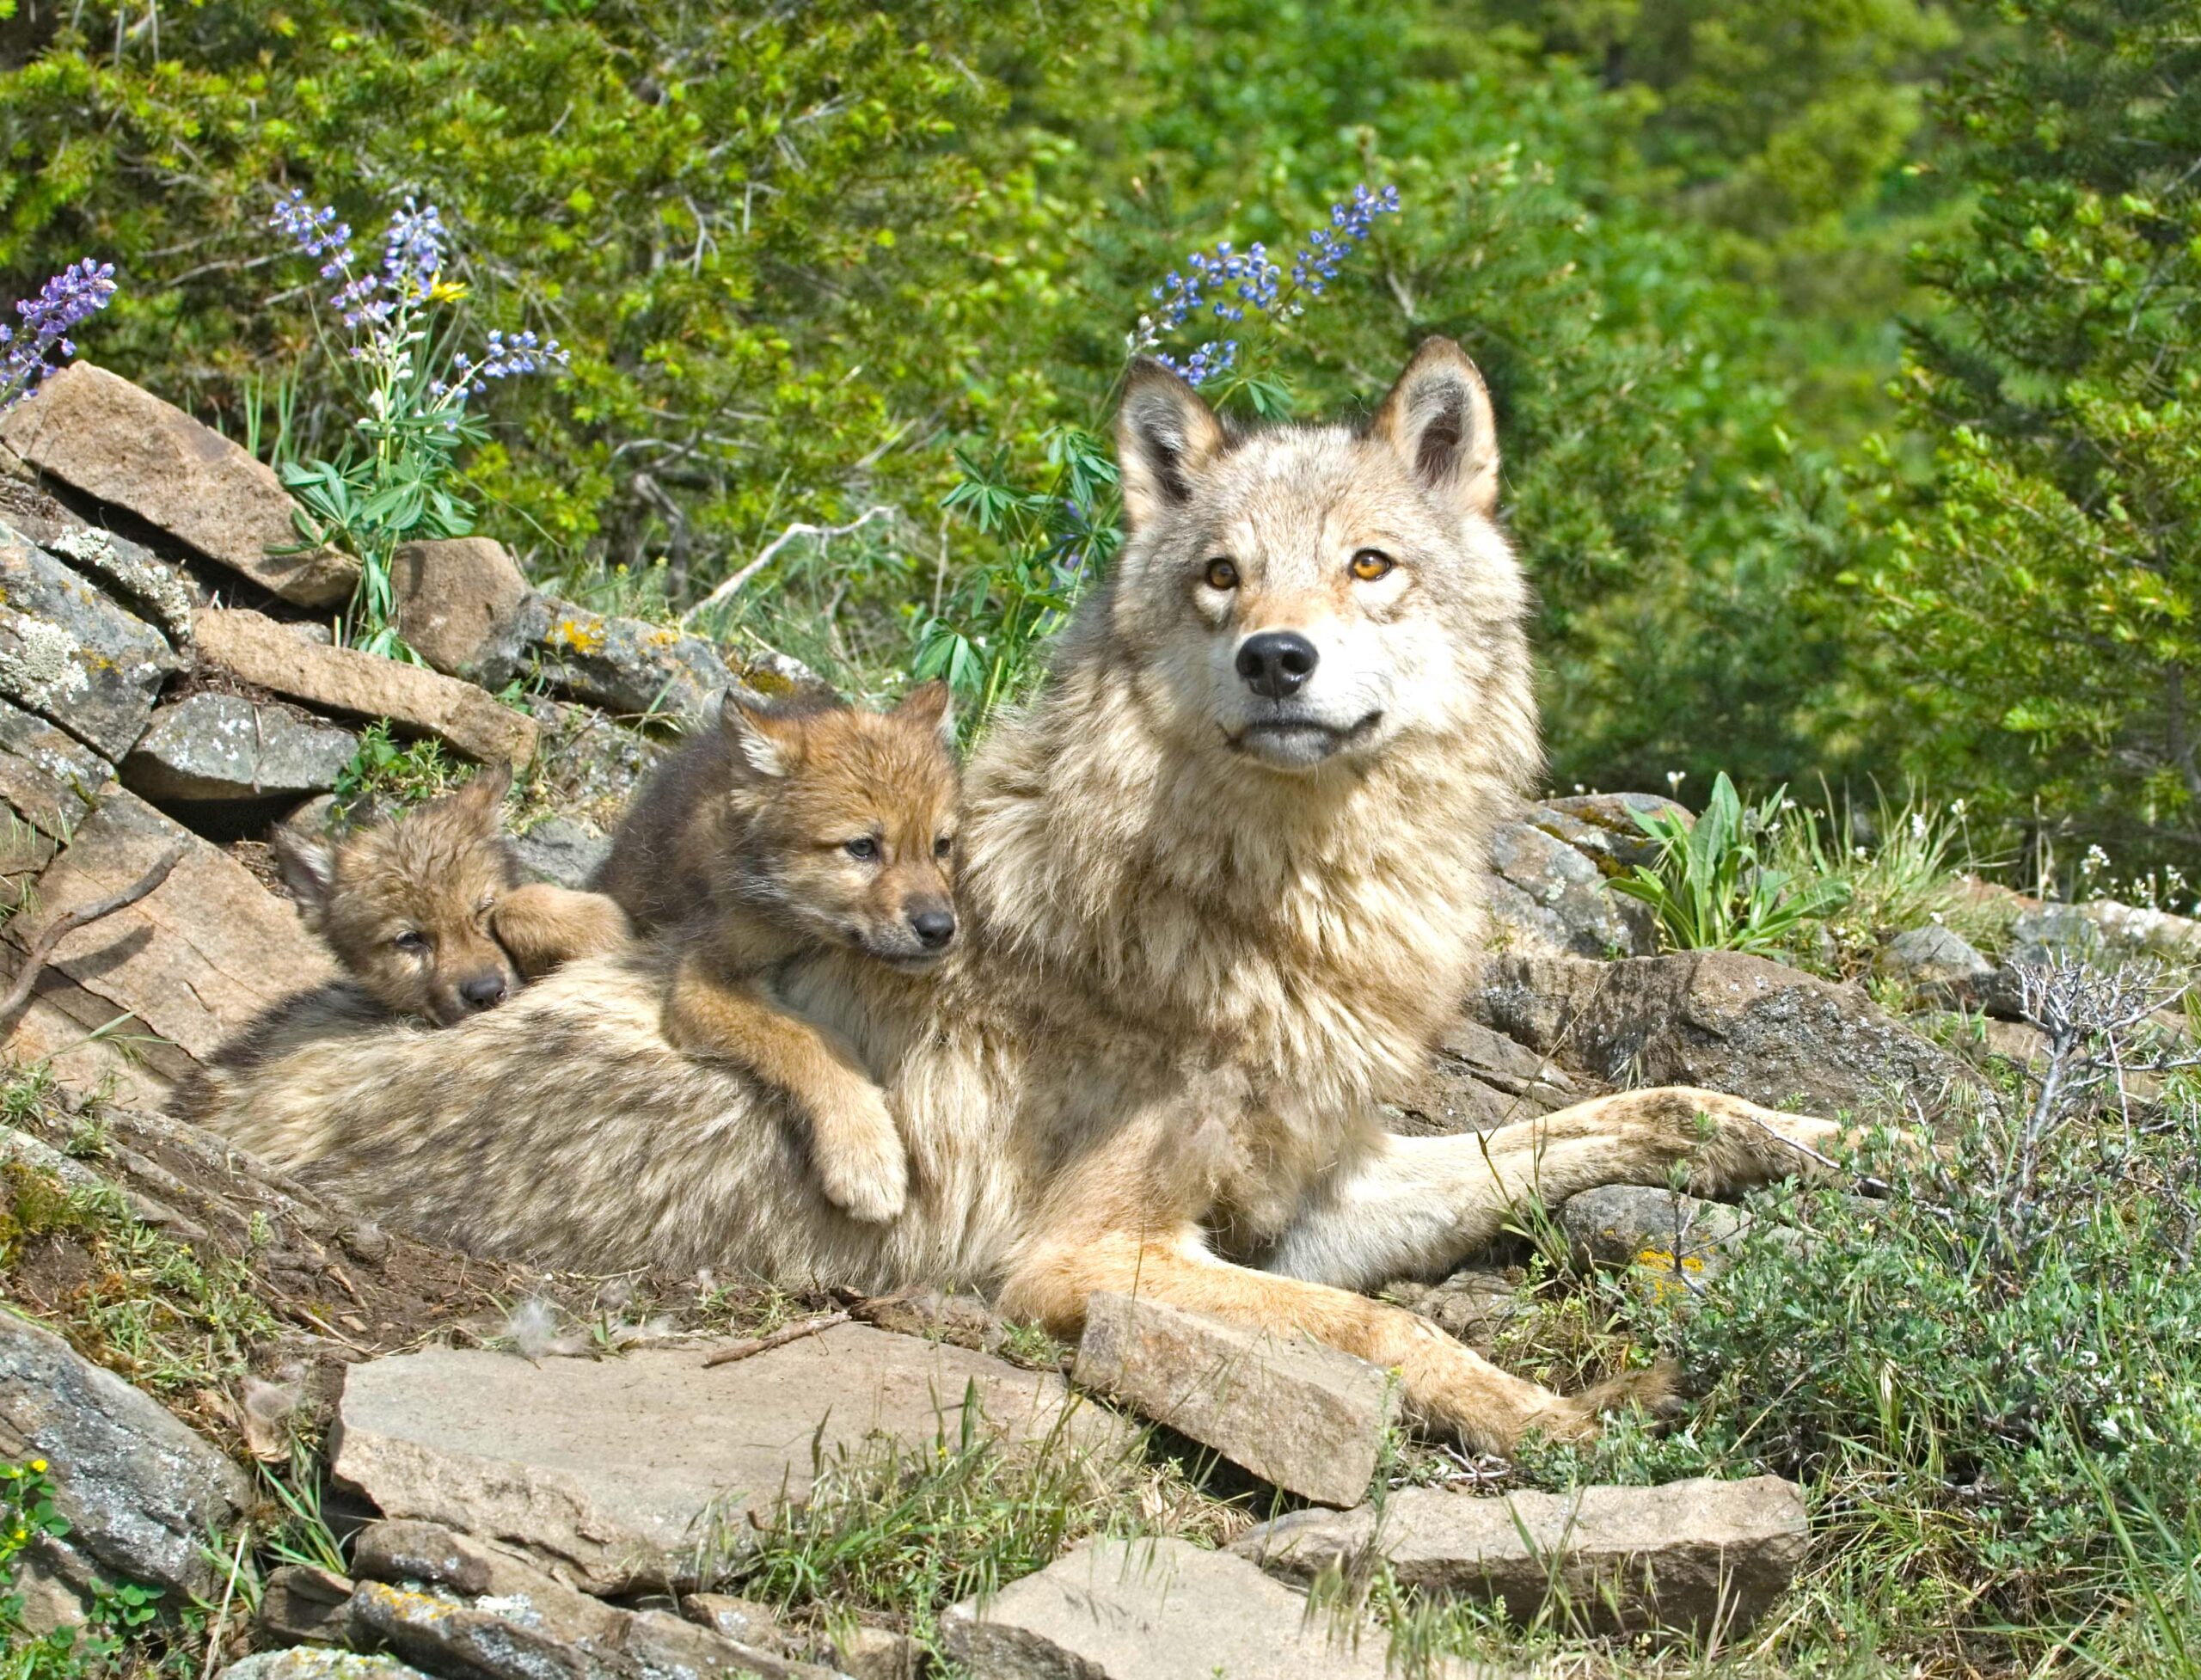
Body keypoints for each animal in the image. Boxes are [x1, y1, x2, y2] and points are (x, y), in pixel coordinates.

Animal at [593, 683, 959, 1222]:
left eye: (942, 845)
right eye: (862, 848)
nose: (939, 929)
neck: (795, 920)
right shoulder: (700, 979)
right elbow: (807, 1041)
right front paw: (865, 1152)